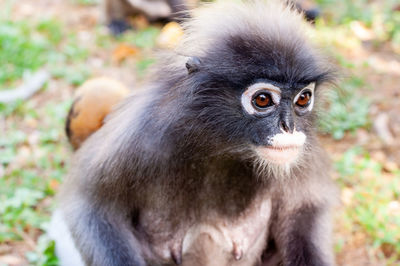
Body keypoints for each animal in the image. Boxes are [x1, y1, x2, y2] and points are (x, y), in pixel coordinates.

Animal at [49, 1, 338, 264]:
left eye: (303, 98)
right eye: (263, 99)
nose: (289, 127)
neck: (221, 146)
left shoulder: (301, 152)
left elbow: (303, 211)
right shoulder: (139, 132)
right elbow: (89, 205)